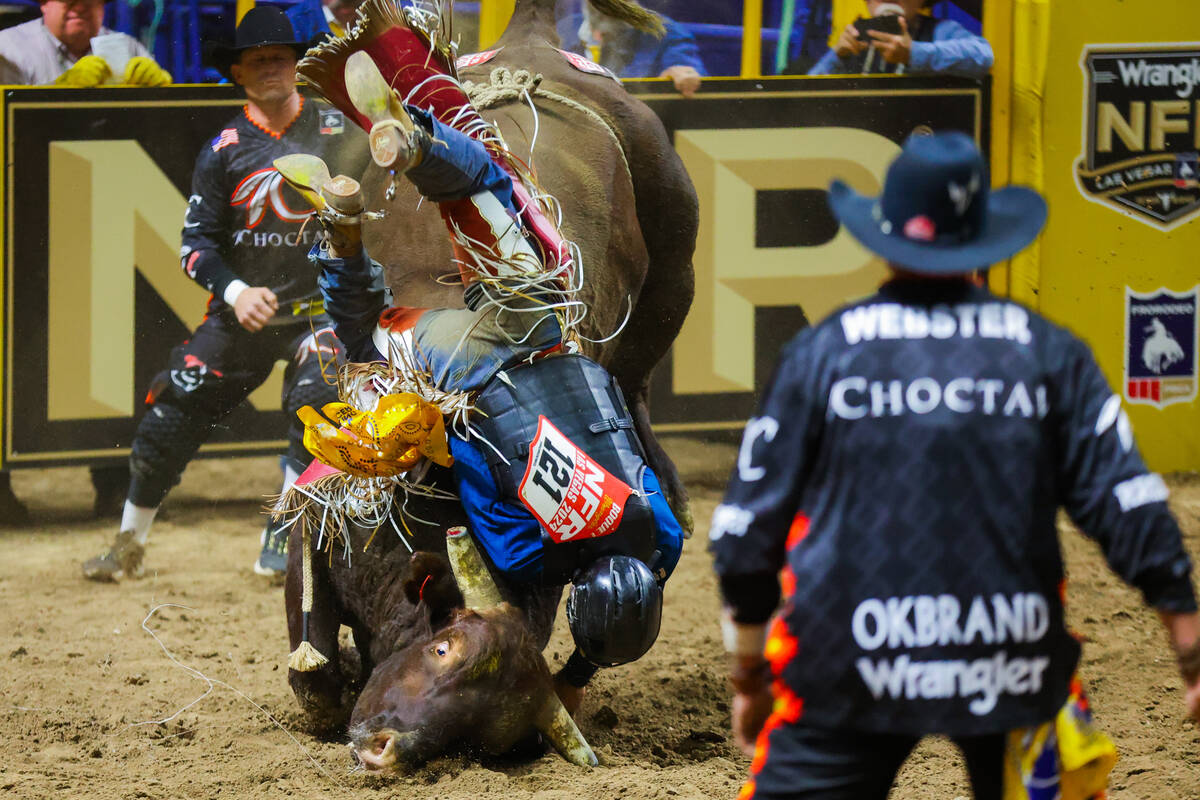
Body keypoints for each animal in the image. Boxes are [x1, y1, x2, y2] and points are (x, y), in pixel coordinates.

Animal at [280, 0, 700, 772]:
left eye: (485, 731)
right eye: (442, 648)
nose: (386, 748)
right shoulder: (324, 507)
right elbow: (313, 662)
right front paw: (325, 670)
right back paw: (378, 109)